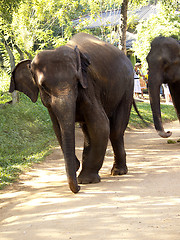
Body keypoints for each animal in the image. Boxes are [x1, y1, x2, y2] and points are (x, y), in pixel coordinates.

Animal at [9, 32, 134, 193]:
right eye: (43, 87)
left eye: (76, 81)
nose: (78, 188)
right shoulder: (49, 105)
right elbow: (58, 128)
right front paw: (76, 168)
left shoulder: (88, 87)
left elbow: (100, 125)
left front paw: (86, 180)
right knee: (88, 131)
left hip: (128, 87)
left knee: (115, 131)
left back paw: (118, 172)